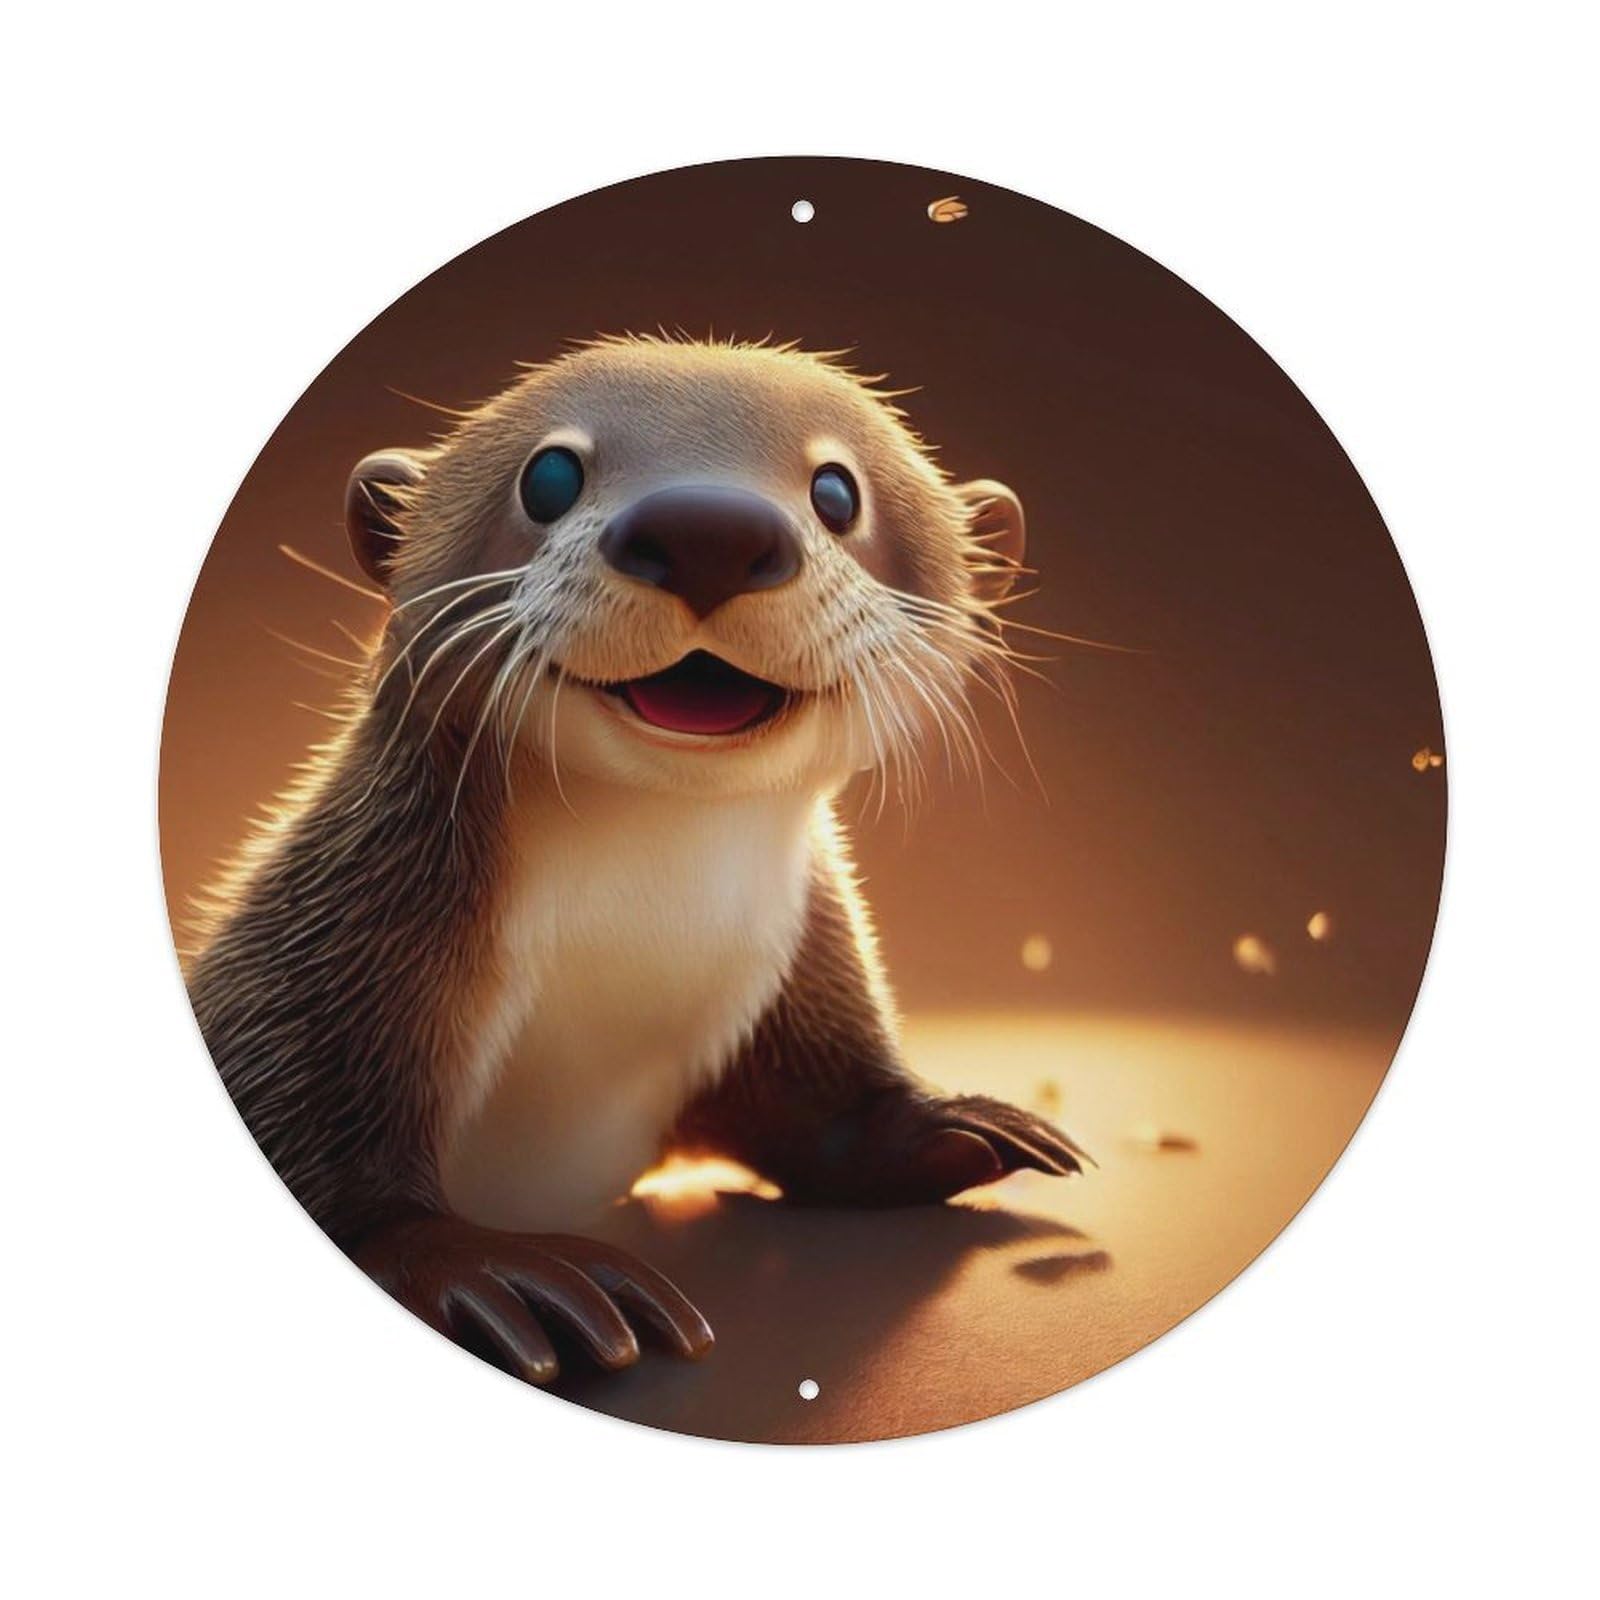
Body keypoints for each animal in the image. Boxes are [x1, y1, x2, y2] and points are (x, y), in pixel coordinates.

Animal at [186, 336, 1089, 1385]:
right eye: (548, 477)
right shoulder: (335, 940)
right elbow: (328, 1150)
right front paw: (496, 1271)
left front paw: (950, 1122)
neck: (637, 945)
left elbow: (814, 1110)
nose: (708, 529)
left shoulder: (800, 953)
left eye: (837, 491)